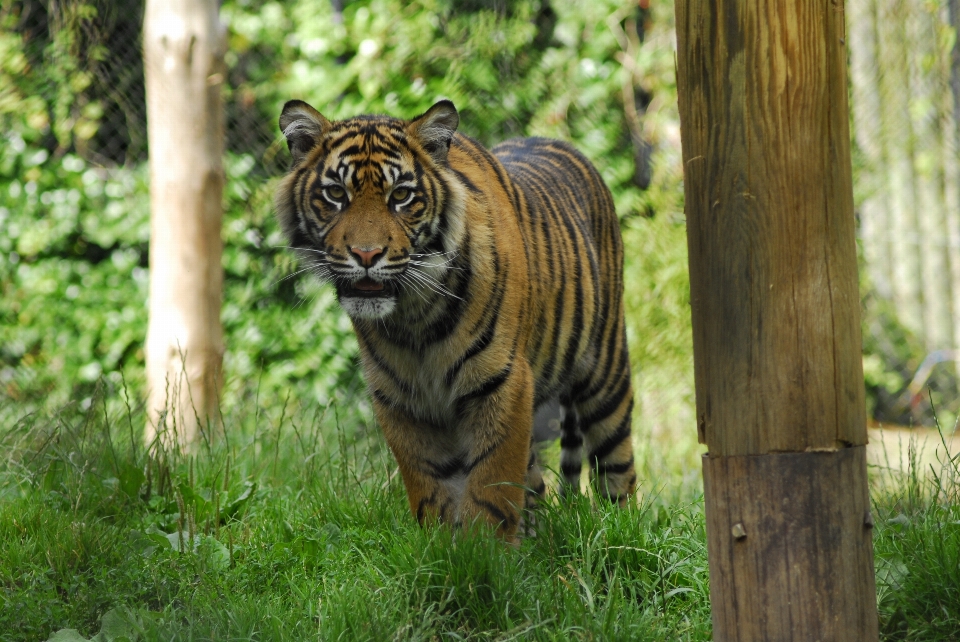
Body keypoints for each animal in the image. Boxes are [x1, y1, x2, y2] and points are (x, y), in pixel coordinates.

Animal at [276, 99, 636, 540]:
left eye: (401, 195)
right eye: (335, 193)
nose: (366, 255)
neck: (414, 316)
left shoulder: (502, 382)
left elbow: (492, 484)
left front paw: (484, 551)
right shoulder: (399, 398)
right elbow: (430, 486)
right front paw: (445, 547)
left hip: (605, 374)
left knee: (617, 469)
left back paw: (621, 534)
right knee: (536, 483)